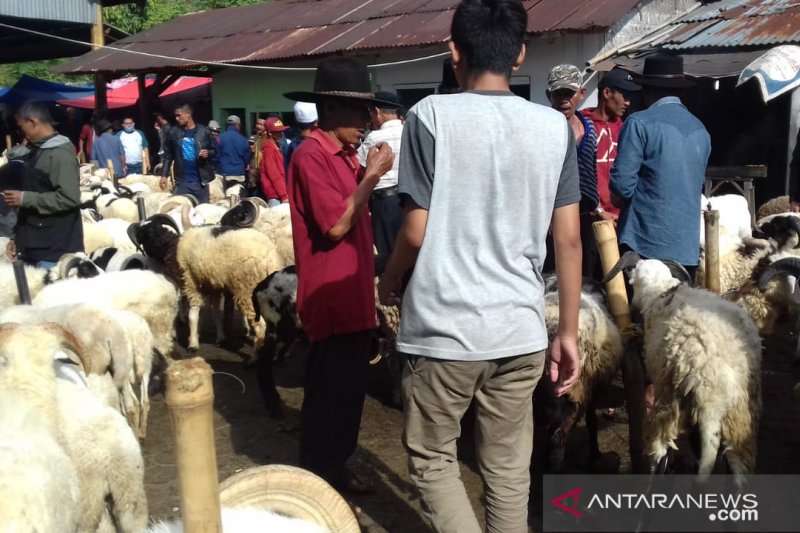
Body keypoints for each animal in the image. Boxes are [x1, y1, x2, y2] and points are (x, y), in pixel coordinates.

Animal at [628, 256, 760, 480]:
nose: (631, 304)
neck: (663, 291)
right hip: (740, 414)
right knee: (738, 466)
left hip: (673, 400)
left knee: (661, 450)